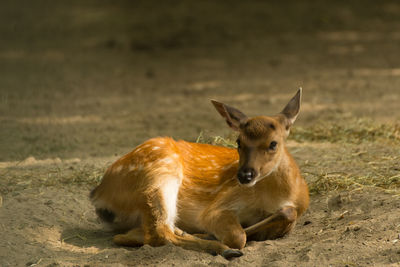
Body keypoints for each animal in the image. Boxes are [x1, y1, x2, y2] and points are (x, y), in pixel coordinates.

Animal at [90, 88, 310, 260]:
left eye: (273, 143)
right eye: (239, 142)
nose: (244, 175)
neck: (274, 199)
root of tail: (98, 194)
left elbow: (288, 214)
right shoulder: (220, 206)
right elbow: (238, 237)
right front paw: (217, 238)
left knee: (136, 234)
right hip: (159, 176)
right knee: (158, 233)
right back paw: (221, 248)